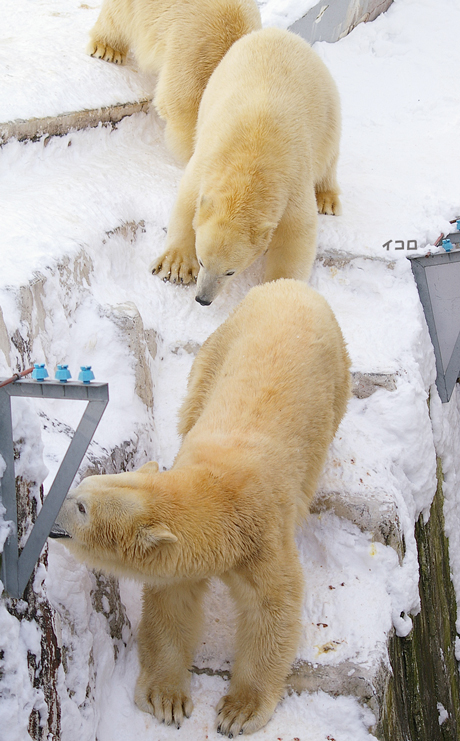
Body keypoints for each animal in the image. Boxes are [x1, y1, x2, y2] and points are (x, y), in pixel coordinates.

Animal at [53, 280, 348, 736]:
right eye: (80, 487)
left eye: (81, 506)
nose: (50, 506)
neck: (223, 492)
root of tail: (290, 286)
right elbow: (174, 607)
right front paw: (167, 699)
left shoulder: (264, 537)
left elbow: (272, 610)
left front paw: (238, 711)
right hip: (220, 346)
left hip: (333, 375)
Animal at [151, 26, 342, 304]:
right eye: (201, 260)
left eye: (230, 271)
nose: (203, 299)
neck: (250, 164)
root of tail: (277, 32)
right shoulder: (207, 161)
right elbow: (187, 202)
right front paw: (175, 265)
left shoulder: (292, 183)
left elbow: (297, 236)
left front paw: (277, 292)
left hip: (326, 105)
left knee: (330, 154)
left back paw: (328, 199)